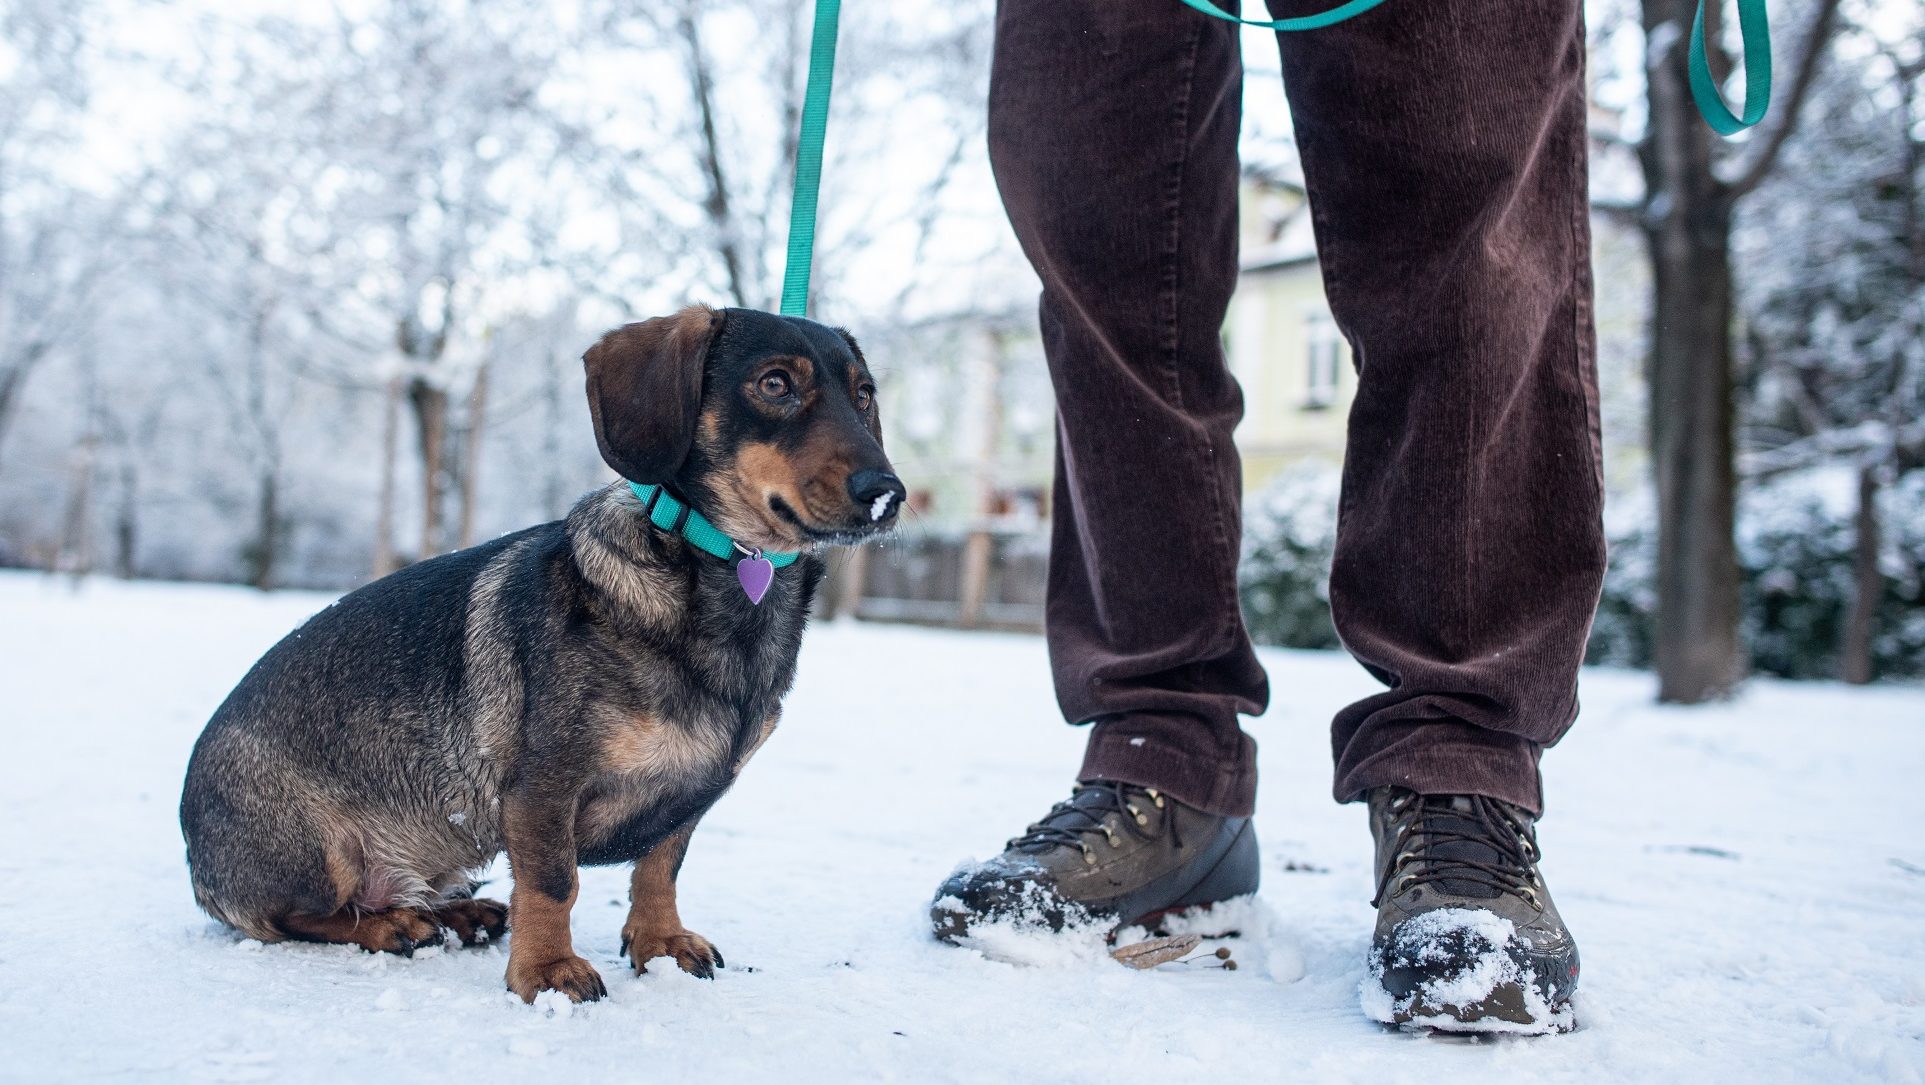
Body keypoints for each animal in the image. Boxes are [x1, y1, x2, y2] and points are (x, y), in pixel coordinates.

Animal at [180, 303, 900, 1000]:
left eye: (864, 394)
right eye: (774, 384)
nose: (886, 493)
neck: (721, 577)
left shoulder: (688, 798)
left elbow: (661, 867)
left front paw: (661, 943)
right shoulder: (544, 789)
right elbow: (555, 883)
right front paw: (547, 972)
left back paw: (460, 914)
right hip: (321, 855)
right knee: (297, 917)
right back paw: (393, 924)